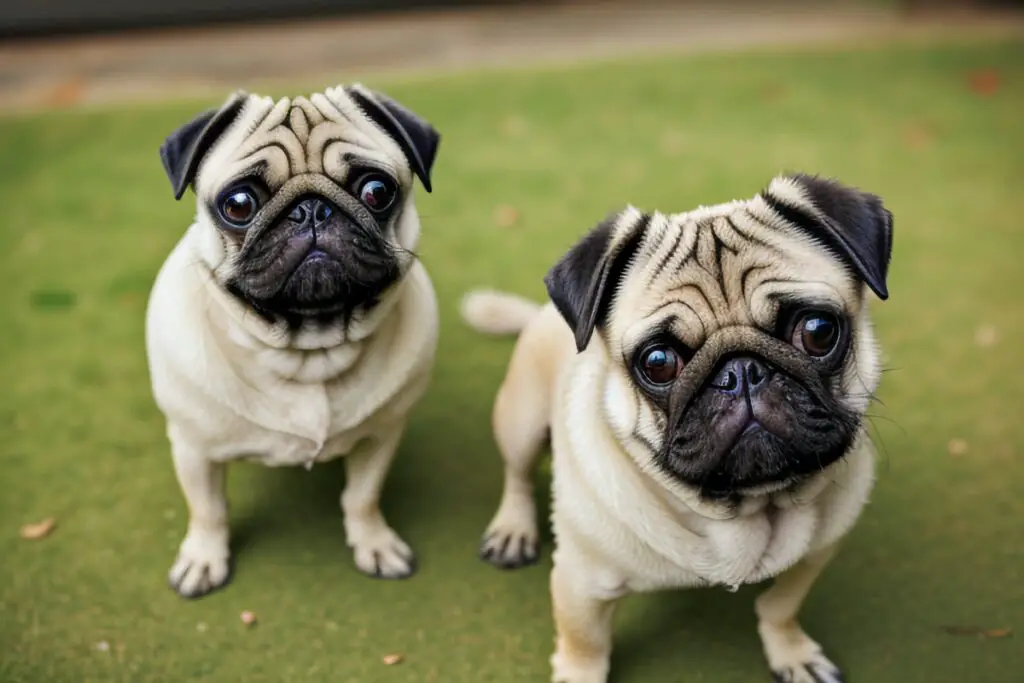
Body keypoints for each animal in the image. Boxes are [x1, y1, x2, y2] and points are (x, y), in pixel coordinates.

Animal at [147, 83, 440, 598]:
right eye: (238, 204)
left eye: (377, 191)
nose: (311, 210)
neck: (309, 351)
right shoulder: (194, 449)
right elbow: (208, 510)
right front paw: (203, 558)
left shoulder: (381, 437)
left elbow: (363, 496)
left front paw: (374, 543)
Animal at [460, 174, 892, 679]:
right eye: (659, 362)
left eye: (819, 331)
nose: (742, 372)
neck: (743, 511)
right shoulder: (580, 583)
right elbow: (584, 643)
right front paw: (579, 671)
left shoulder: (815, 557)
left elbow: (779, 607)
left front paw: (791, 652)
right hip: (521, 421)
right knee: (518, 474)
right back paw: (513, 528)